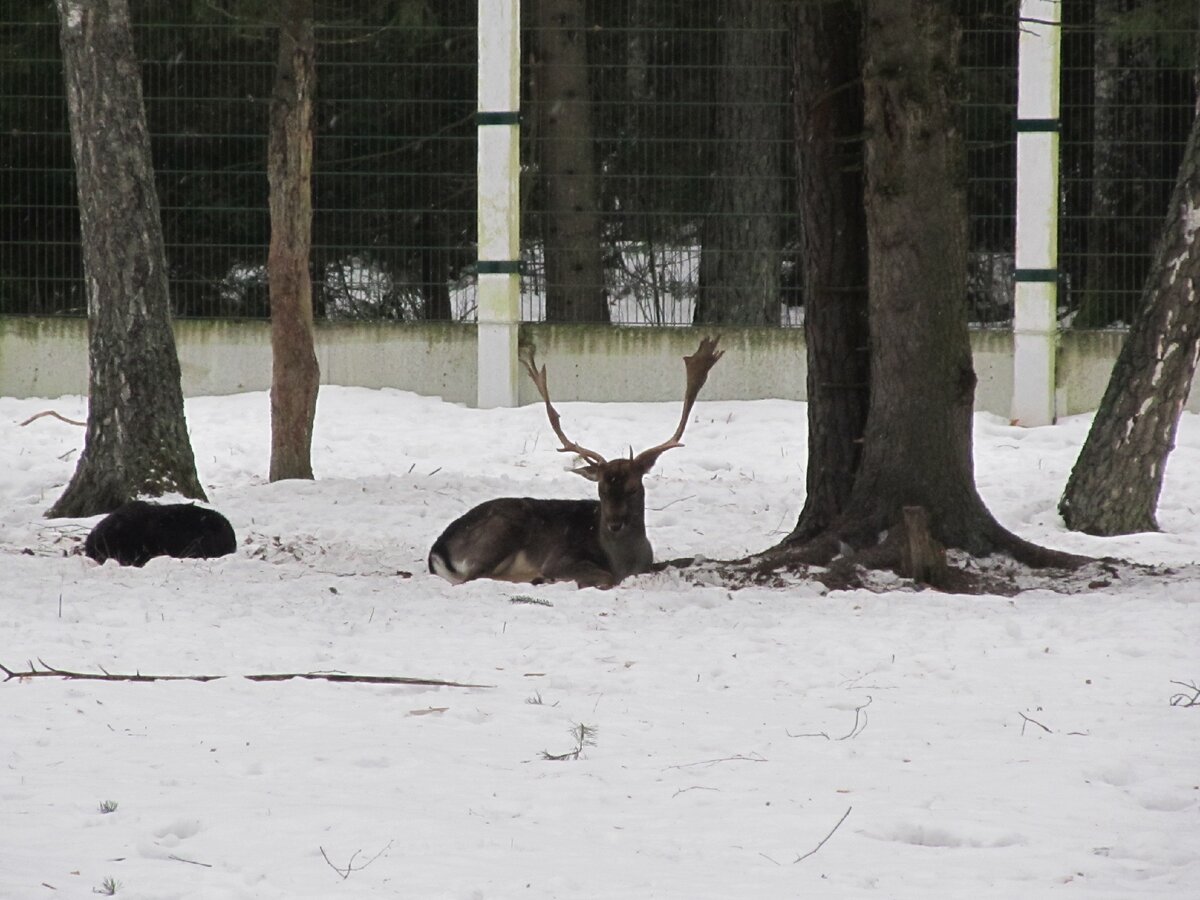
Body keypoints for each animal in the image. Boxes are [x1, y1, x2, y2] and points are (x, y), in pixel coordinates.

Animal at [429, 338, 720, 592]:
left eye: (633, 488)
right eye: (601, 490)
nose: (614, 524)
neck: (625, 561)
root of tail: (437, 550)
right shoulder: (561, 558)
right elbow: (606, 578)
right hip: (503, 529)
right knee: (472, 577)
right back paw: (535, 578)